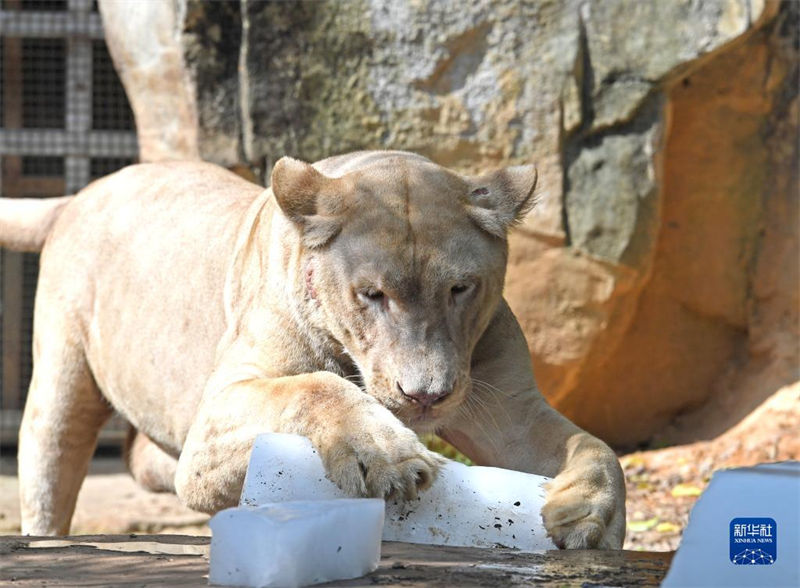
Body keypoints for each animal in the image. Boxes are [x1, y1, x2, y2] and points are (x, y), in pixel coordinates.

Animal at [0, 150, 624, 548]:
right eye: (372, 294)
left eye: (460, 289)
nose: (425, 396)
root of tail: (80, 193)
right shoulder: (210, 429)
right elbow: (313, 385)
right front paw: (386, 456)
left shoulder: (509, 409)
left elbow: (594, 447)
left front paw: (587, 513)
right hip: (61, 385)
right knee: (50, 464)